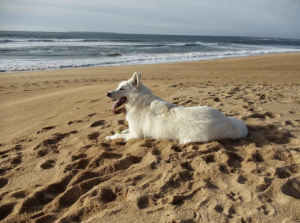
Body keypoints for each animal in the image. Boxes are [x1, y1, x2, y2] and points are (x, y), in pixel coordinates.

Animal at [106, 72, 247, 144]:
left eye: (122, 89)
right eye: (118, 87)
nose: (107, 93)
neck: (139, 103)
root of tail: (229, 123)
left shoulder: (136, 134)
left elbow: (120, 136)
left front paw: (111, 138)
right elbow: (123, 131)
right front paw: (115, 133)